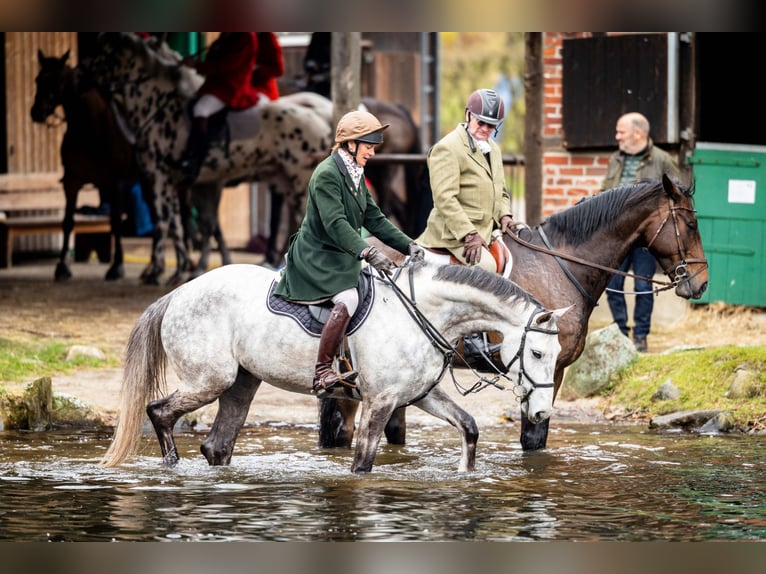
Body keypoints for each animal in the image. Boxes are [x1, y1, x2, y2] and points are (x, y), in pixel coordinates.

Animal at [30, 48, 151, 281]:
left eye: (58, 81)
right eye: (38, 79)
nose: (37, 112)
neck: (89, 128)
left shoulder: (115, 184)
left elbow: (115, 222)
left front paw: (117, 266)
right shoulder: (72, 181)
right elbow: (68, 221)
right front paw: (62, 266)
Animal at [85, 32, 332, 285]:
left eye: (100, 53)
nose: (78, 75)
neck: (159, 107)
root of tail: (321, 121)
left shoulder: (162, 178)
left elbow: (166, 222)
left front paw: (160, 270)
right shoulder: (190, 183)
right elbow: (189, 223)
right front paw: (186, 268)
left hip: (298, 184)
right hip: (285, 183)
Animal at [100, 260, 569, 473]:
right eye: (538, 354)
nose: (541, 413)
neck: (422, 312)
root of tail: (178, 294)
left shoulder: (419, 395)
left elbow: (469, 427)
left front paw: (465, 476)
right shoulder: (381, 402)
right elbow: (362, 462)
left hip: (240, 384)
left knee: (217, 445)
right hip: (208, 380)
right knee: (160, 412)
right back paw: (171, 468)